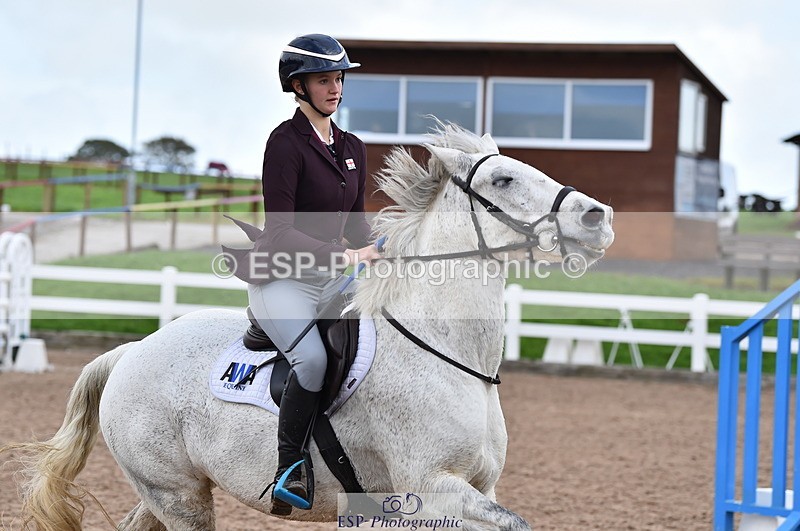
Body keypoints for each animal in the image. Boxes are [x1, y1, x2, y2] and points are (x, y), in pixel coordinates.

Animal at [3, 124, 614, 530]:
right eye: (505, 179)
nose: (598, 217)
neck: (445, 350)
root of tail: (131, 351)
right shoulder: (432, 487)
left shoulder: (472, 487)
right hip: (176, 493)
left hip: (169, 493)